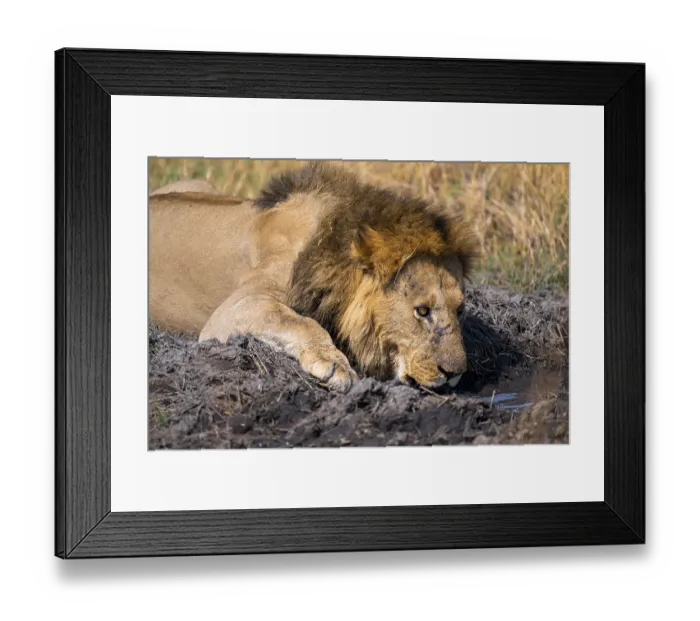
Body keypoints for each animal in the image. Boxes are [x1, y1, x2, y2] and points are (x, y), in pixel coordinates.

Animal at [148, 163, 479, 391]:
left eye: (460, 310)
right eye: (421, 311)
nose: (456, 374)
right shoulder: (229, 312)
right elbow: (297, 321)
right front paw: (334, 364)